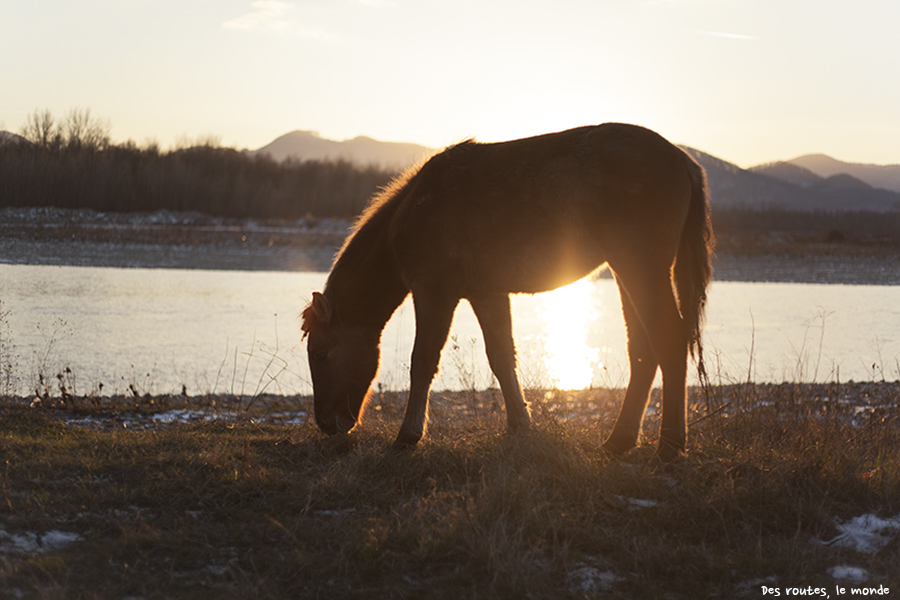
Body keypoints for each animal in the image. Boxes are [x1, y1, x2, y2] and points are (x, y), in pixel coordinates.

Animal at [302, 123, 716, 464]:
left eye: (321, 354)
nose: (325, 423)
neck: (414, 211)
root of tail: (683, 161)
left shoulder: (434, 291)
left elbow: (422, 362)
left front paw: (407, 437)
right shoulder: (487, 293)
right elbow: (502, 357)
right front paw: (520, 425)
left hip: (639, 267)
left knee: (668, 340)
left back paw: (669, 446)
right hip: (626, 272)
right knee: (643, 350)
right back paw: (619, 442)